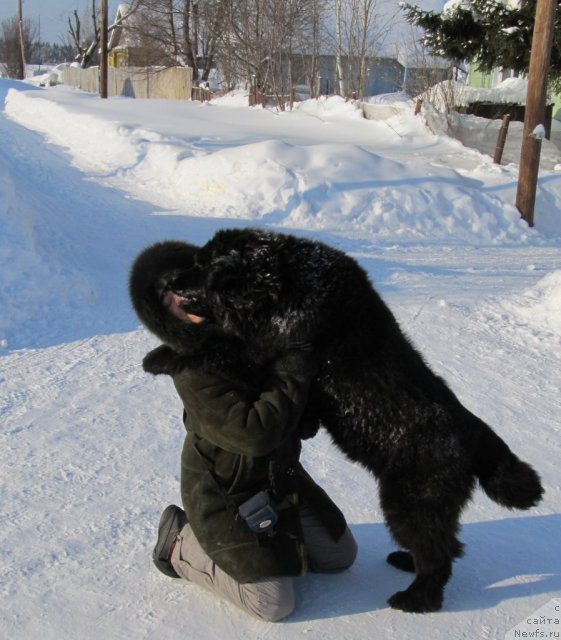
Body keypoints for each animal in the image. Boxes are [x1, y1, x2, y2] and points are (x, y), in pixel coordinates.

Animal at [130, 230, 544, 616]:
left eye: (202, 265)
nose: (171, 283)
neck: (281, 285)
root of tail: (475, 434)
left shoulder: (266, 353)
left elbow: (217, 346)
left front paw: (161, 356)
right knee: (445, 548)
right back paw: (407, 563)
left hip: (410, 504)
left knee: (439, 556)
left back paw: (416, 599)